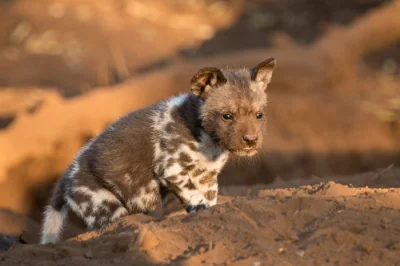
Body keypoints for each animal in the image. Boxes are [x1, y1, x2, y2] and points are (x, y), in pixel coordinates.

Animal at [42, 57, 276, 244]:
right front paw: (199, 211)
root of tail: (65, 178)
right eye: (227, 116)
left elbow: (210, 201)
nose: (251, 141)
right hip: (105, 205)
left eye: (259, 115)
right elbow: (194, 197)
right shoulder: (172, 170)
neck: (207, 139)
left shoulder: (207, 178)